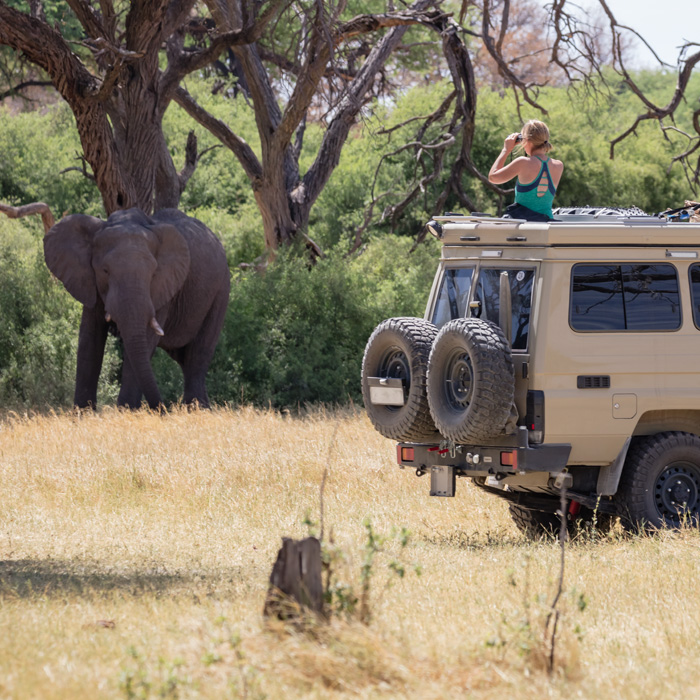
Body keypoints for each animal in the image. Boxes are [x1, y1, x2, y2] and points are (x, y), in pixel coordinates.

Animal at [43, 206, 230, 410]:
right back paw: (203, 408)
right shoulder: (89, 281)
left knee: (198, 354)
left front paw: (127, 411)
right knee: (184, 358)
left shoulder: (163, 286)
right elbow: (89, 341)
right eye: (105, 271)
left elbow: (145, 341)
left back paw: (197, 409)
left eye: (153, 273)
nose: (163, 409)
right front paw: (83, 413)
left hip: (220, 290)